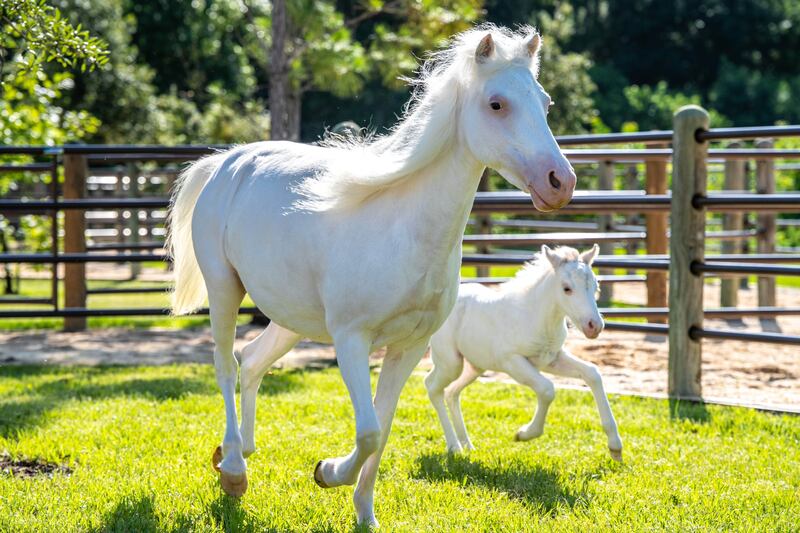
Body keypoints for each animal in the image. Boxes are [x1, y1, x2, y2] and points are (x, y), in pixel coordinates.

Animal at [424, 245, 624, 462]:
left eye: (595, 286)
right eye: (567, 288)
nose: (594, 326)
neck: (535, 318)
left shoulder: (551, 359)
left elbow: (592, 373)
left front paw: (615, 447)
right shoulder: (512, 362)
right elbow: (547, 389)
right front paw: (524, 434)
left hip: (475, 366)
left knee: (452, 392)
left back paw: (468, 445)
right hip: (451, 363)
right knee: (432, 386)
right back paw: (454, 447)